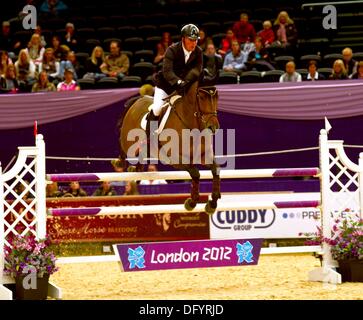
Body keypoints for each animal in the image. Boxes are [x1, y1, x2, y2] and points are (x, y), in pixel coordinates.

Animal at [119, 81, 222, 214]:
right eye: (202, 97)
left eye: (217, 97)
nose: (213, 127)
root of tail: (138, 101)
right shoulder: (176, 159)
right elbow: (195, 173)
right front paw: (191, 202)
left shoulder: (203, 156)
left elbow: (215, 169)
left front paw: (212, 203)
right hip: (127, 142)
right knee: (123, 147)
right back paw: (119, 162)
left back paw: (135, 169)